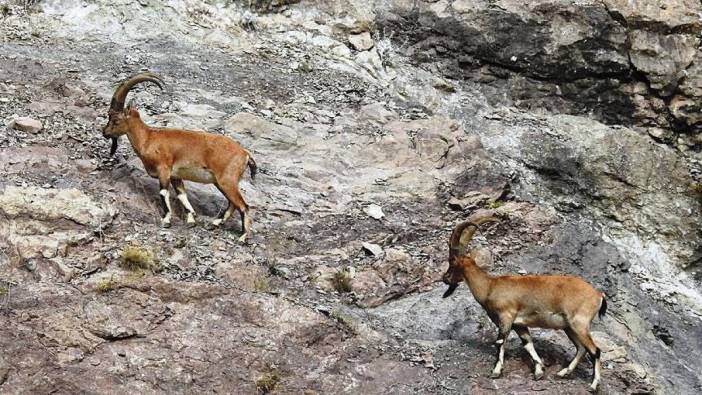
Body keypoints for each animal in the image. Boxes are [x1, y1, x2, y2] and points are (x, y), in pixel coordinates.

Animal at [103, 72, 258, 243]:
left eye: (116, 120)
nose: (105, 132)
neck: (148, 138)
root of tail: (245, 154)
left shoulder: (164, 169)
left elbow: (164, 192)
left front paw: (166, 220)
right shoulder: (176, 175)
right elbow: (182, 194)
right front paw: (191, 219)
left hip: (227, 180)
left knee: (243, 205)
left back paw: (243, 236)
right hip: (221, 182)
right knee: (233, 203)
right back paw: (215, 223)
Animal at [442, 217, 608, 392]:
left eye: (452, 262)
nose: (445, 278)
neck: (490, 286)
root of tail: (598, 295)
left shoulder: (506, 317)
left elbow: (500, 342)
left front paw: (496, 371)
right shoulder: (519, 324)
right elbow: (528, 344)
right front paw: (539, 371)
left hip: (579, 323)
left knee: (595, 350)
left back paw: (593, 385)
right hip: (569, 327)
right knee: (581, 348)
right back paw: (563, 373)